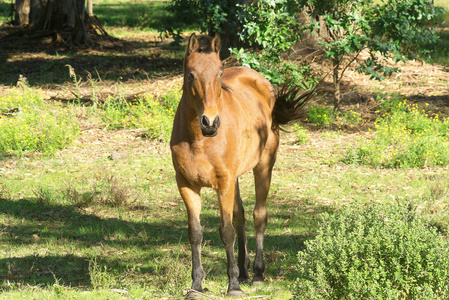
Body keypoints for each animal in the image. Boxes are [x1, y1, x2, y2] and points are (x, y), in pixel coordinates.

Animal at [170, 34, 310, 296]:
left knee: (258, 215)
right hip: (234, 178)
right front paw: (196, 285)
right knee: (240, 216)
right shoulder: (186, 184)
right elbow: (195, 233)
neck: (199, 141)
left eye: (218, 74)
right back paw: (244, 272)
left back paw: (256, 274)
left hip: (263, 166)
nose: (210, 122)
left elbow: (226, 231)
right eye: (191, 75)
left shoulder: (223, 183)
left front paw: (233, 285)